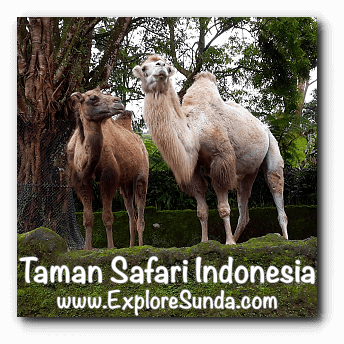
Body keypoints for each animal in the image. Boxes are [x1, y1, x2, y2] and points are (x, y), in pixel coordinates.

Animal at [66, 87, 148, 249]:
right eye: (92, 98)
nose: (118, 102)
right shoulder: (80, 179)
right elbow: (87, 218)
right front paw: (87, 248)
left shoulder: (108, 177)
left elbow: (107, 217)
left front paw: (110, 247)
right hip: (125, 184)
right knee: (131, 215)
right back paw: (131, 246)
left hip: (142, 175)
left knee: (140, 214)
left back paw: (141, 246)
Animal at [133, 55, 288, 245]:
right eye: (144, 68)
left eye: (168, 68)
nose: (160, 67)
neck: (193, 131)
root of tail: (264, 128)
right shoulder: (193, 169)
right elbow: (201, 210)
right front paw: (205, 241)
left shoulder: (221, 159)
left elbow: (223, 207)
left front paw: (228, 243)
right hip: (248, 171)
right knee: (244, 206)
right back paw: (238, 238)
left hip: (272, 146)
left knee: (275, 184)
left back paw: (284, 239)